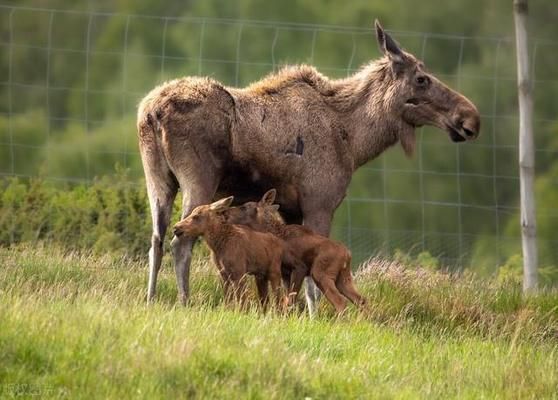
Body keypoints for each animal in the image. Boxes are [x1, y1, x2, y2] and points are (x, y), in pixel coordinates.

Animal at [225, 189, 370, 314]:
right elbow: (287, 299)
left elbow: (290, 300)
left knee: (341, 302)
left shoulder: (299, 267)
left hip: (320, 273)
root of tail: (348, 255)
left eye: (245, 207)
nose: (226, 213)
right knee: (361, 300)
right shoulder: (285, 273)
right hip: (343, 278)